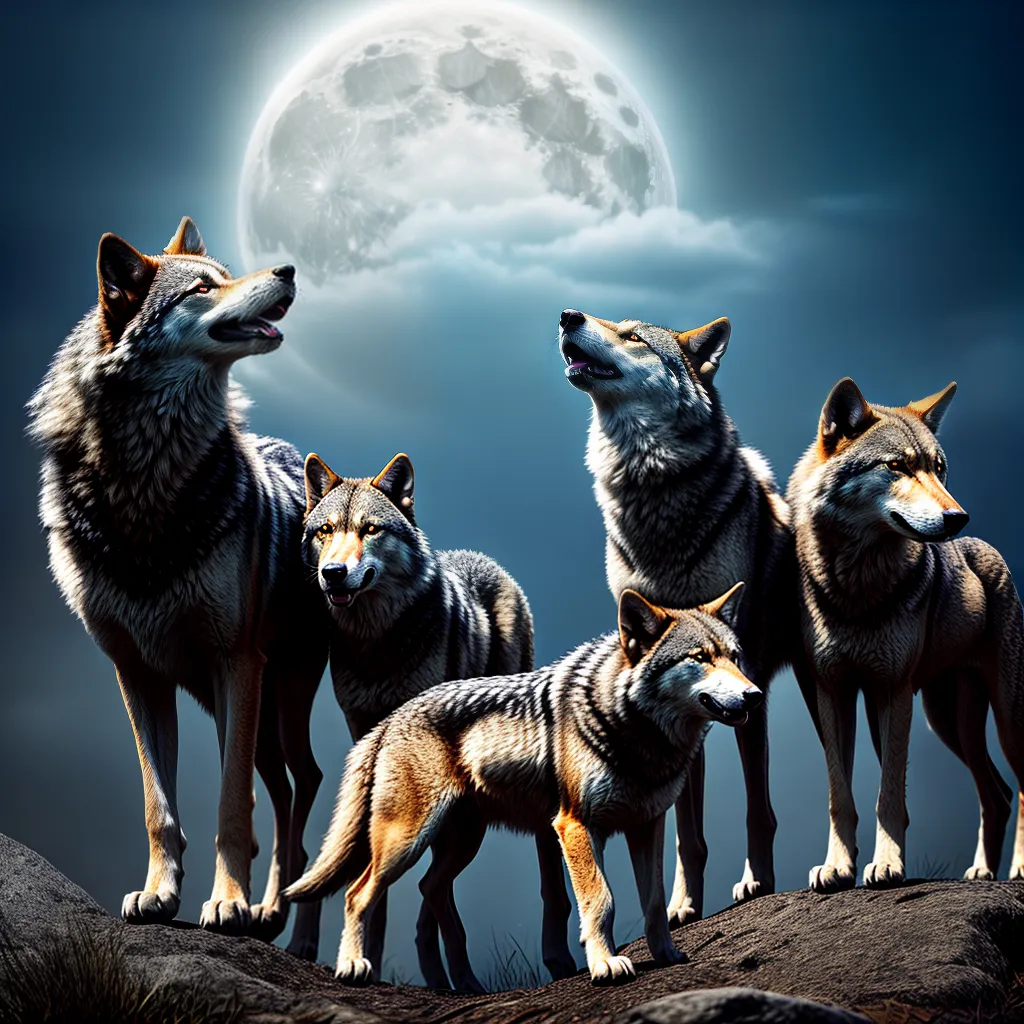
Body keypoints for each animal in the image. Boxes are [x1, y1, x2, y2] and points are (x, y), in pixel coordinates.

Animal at [27, 219, 329, 944]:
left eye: (228, 273)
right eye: (203, 287)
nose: (287, 271)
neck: (148, 482)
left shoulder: (235, 662)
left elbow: (229, 806)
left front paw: (227, 904)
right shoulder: (138, 672)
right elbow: (158, 806)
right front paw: (159, 895)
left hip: (273, 695)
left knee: (303, 782)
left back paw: (294, 927)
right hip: (246, 710)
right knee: (282, 788)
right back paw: (271, 912)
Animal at [286, 584, 760, 988]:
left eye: (735, 656)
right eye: (700, 658)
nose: (754, 695)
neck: (636, 733)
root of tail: (387, 721)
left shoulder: (647, 825)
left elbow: (655, 901)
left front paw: (666, 956)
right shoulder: (574, 826)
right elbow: (600, 901)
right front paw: (605, 965)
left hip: (462, 842)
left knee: (429, 889)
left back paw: (464, 986)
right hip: (405, 842)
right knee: (357, 893)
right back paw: (353, 966)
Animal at [300, 451, 574, 983]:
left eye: (369, 529)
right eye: (325, 530)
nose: (333, 573)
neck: (376, 644)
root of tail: (478, 557)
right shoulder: (364, 733)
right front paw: (368, 955)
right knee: (431, 884)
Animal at [556, 309, 794, 923]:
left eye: (634, 336)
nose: (567, 316)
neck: (651, 489)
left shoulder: (747, 675)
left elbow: (758, 809)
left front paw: (759, 882)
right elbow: (687, 830)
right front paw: (683, 903)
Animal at [787, 377, 1024, 889]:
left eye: (939, 469)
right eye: (896, 466)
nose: (958, 516)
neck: (856, 587)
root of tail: (987, 547)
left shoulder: (891, 692)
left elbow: (889, 793)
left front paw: (888, 865)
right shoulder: (832, 691)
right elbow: (840, 796)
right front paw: (837, 867)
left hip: (1002, 716)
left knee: (1022, 784)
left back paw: (1017, 868)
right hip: (949, 720)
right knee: (996, 792)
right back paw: (981, 871)